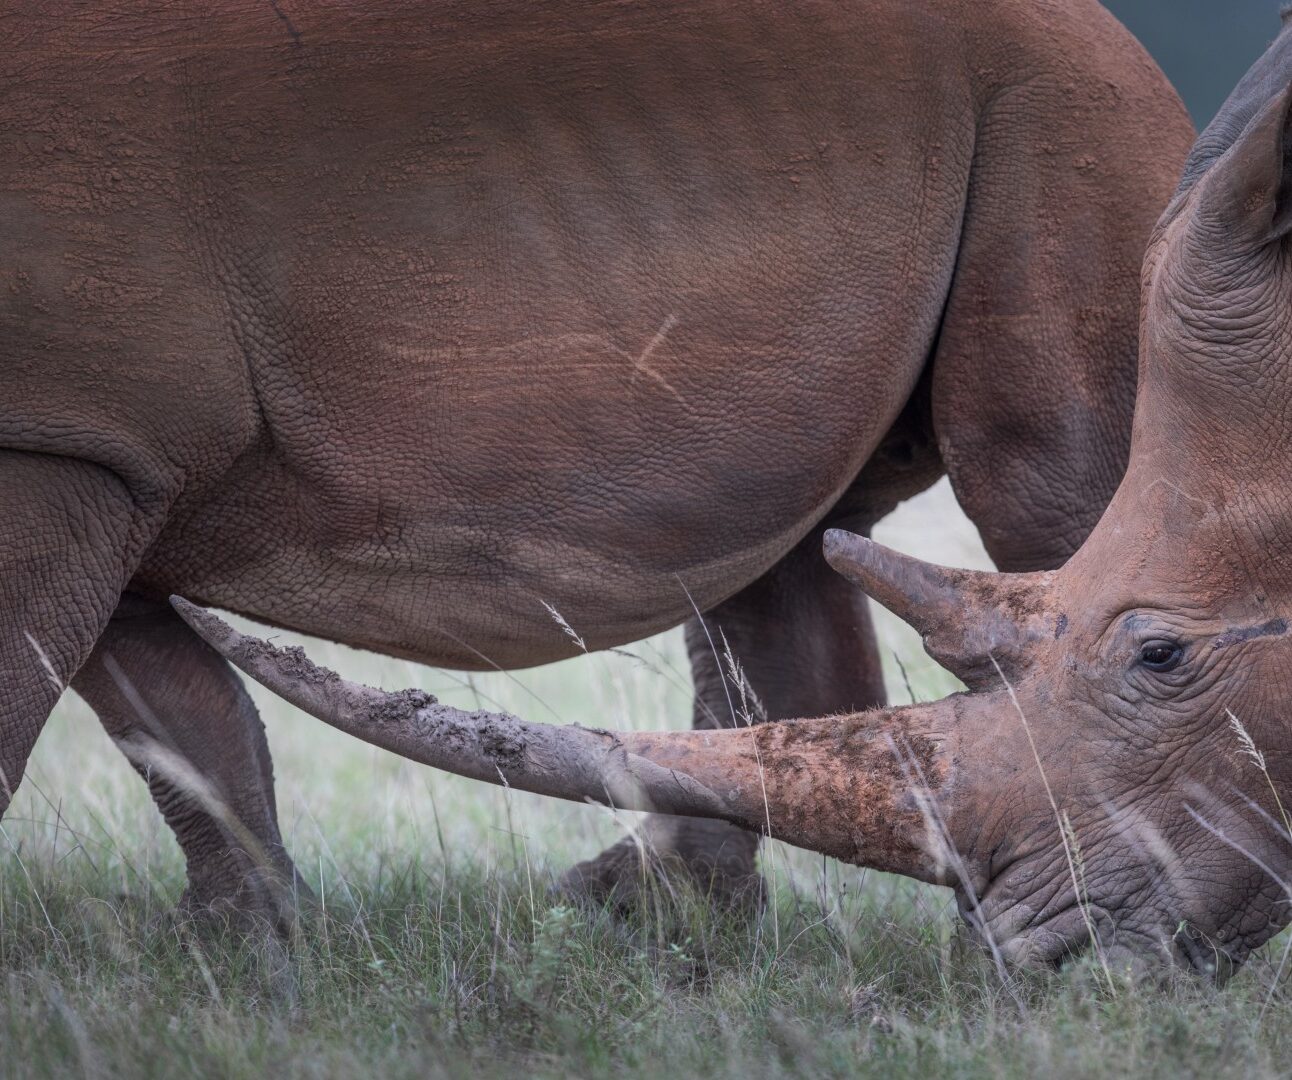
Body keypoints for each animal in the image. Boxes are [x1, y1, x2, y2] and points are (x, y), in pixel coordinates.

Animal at [2, 2, 1187, 927]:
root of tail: (1128, 49)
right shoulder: (107, 453)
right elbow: (176, 716)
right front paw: (240, 947)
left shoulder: (73, 445)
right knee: (781, 548)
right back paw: (637, 919)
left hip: (1060, 111)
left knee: (1053, 493)